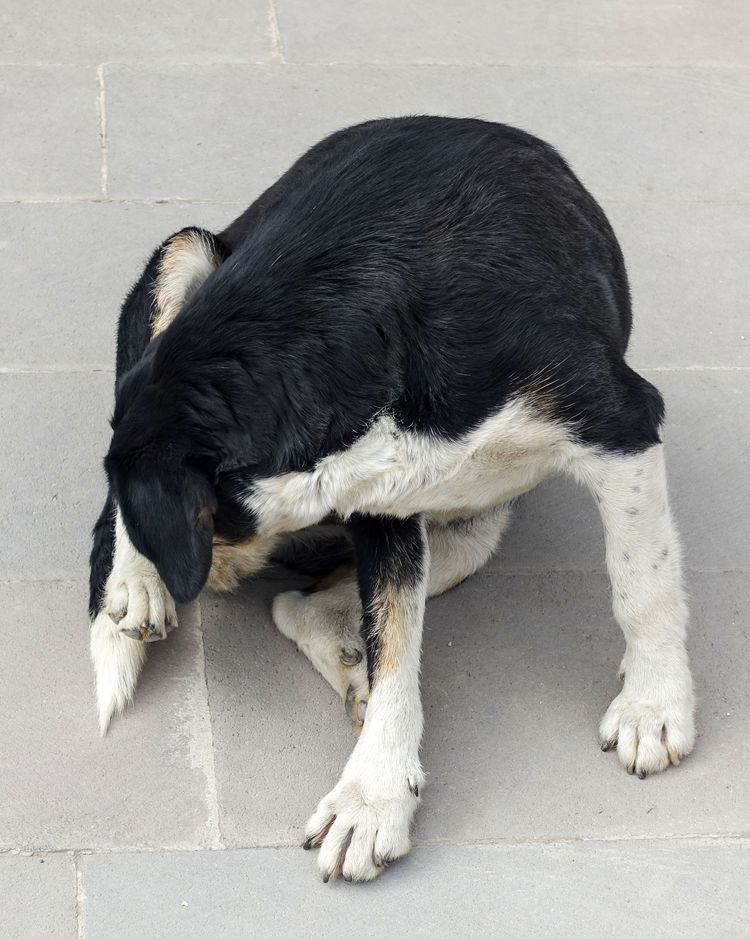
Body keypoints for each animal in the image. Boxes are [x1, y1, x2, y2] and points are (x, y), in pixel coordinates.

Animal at [91, 115, 696, 880]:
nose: (218, 565)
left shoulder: (619, 424)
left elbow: (641, 584)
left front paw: (654, 704)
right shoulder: (382, 508)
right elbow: (395, 651)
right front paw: (374, 797)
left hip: (476, 531)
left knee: (300, 604)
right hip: (186, 249)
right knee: (299, 606)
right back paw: (142, 587)